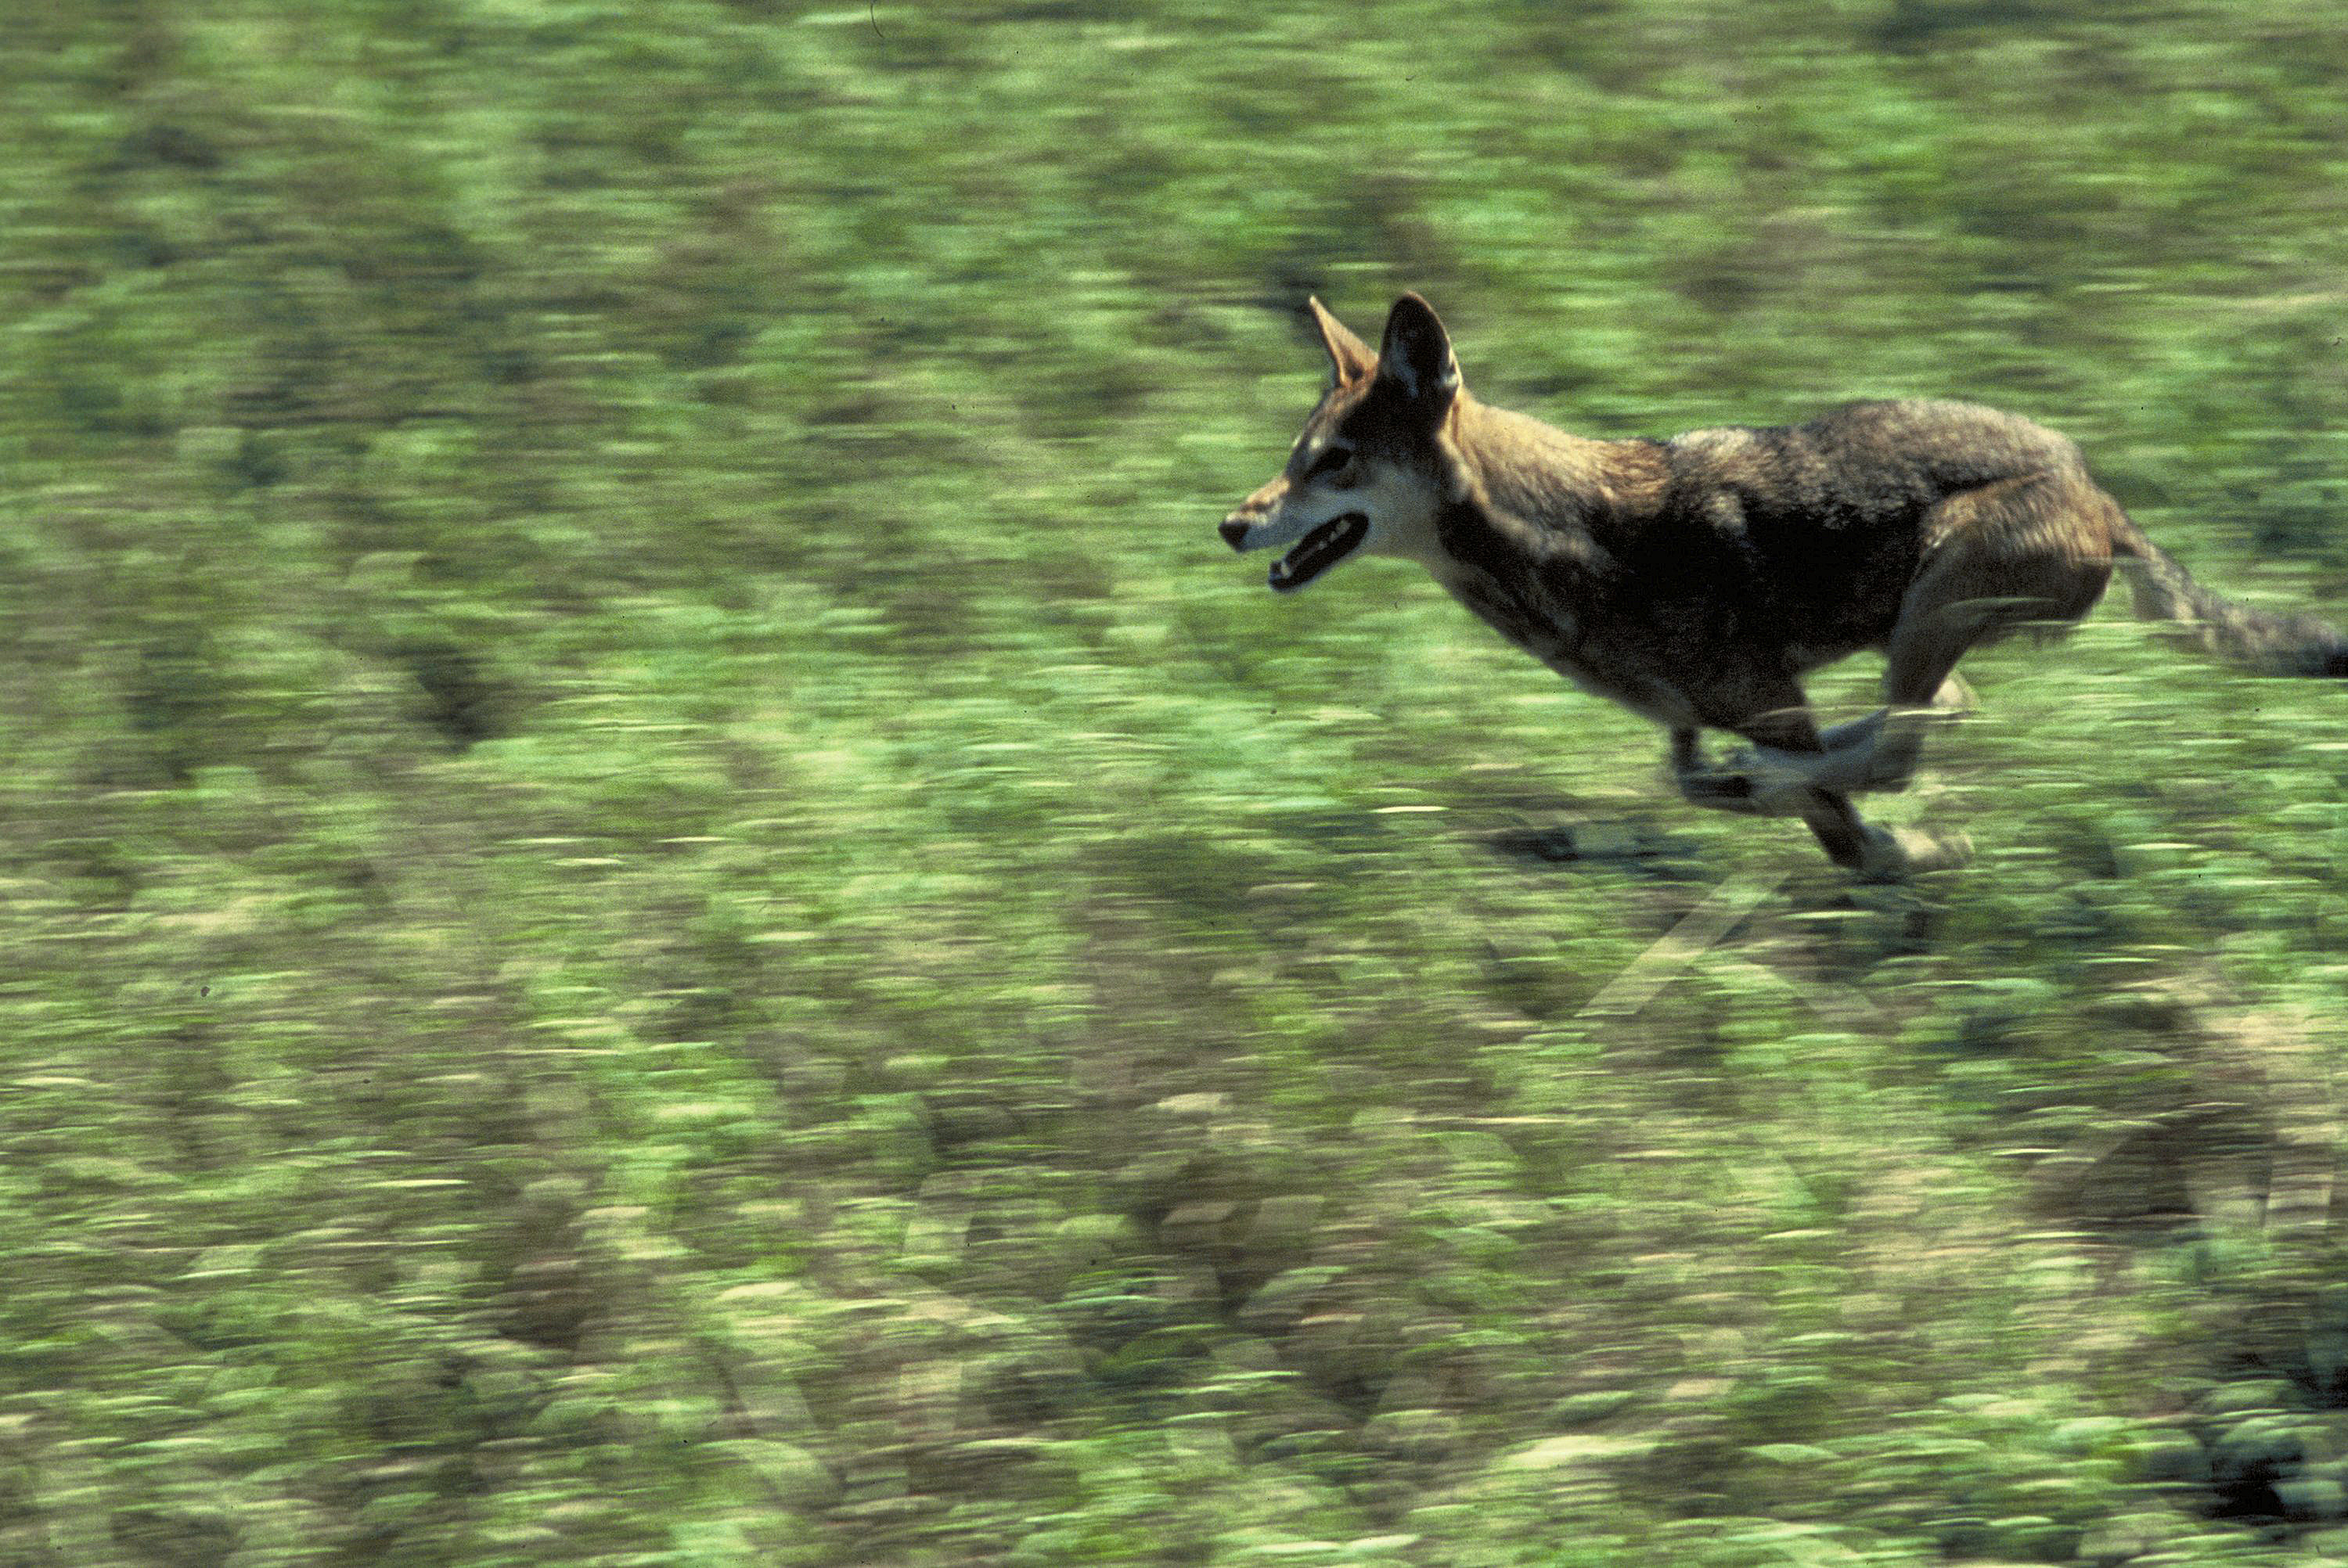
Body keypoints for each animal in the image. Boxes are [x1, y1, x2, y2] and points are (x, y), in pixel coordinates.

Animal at [1221, 291, 2339, 883]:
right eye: (1295, 458)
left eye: (1333, 465)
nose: (1231, 523)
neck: (1569, 539)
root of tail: (2097, 487)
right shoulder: (1704, 712)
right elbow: (1698, 778)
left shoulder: (1765, 699)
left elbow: (1843, 826)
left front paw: (1899, 847)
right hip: (1915, 630)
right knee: (1927, 718)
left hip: (1938, 583)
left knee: (1903, 741)